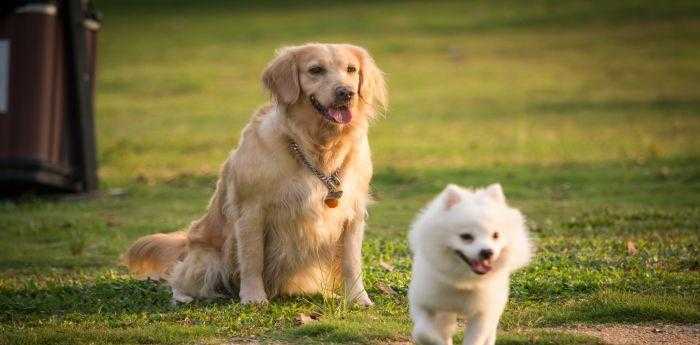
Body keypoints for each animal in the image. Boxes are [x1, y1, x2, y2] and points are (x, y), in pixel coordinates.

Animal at [408, 183, 532, 344]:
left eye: (496, 235)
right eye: (466, 236)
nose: (487, 252)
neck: (464, 281)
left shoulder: (483, 314)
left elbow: (476, 338)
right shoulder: (423, 302)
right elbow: (423, 332)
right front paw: (437, 340)